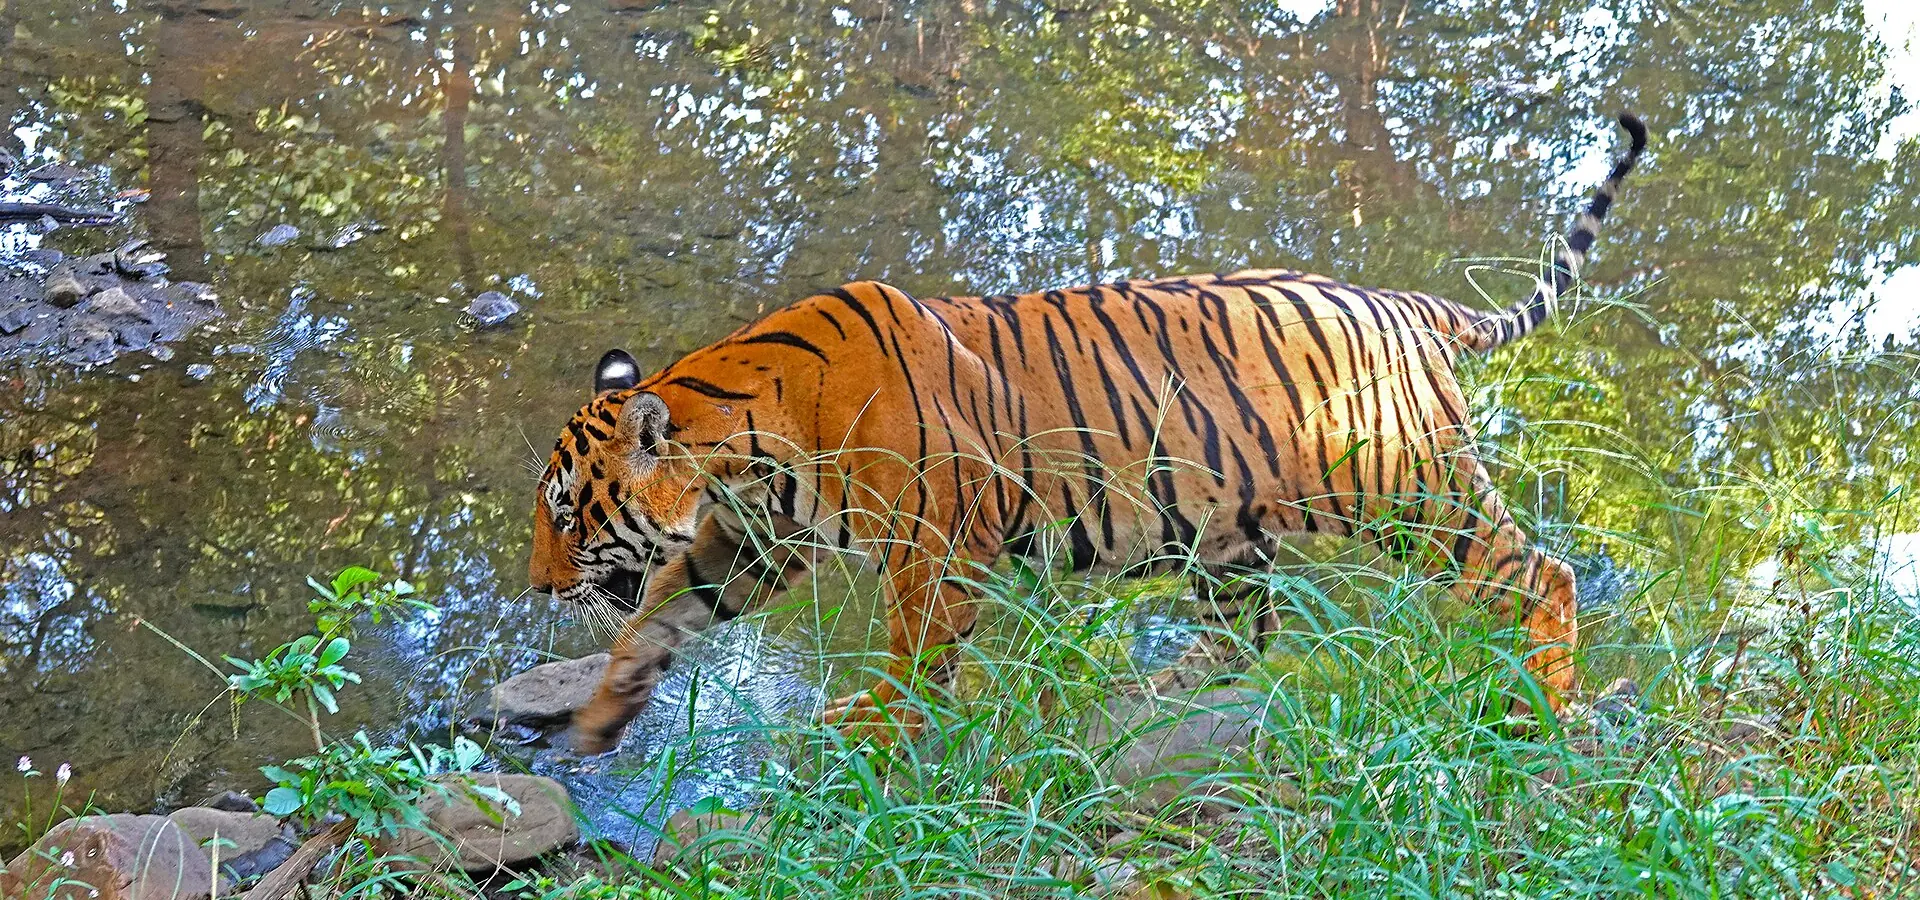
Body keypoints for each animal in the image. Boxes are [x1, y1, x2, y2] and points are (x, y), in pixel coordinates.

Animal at [530, 115, 1648, 756]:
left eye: (568, 513)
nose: (537, 589)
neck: (740, 446)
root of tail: (1403, 303)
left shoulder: (935, 546)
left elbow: (912, 656)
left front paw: (880, 733)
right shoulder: (757, 539)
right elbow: (660, 613)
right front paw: (601, 716)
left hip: (1407, 490)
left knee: (1542, 574)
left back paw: (1550, 711)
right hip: (1227, 531)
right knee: (1239, 638)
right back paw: (1136, 707)